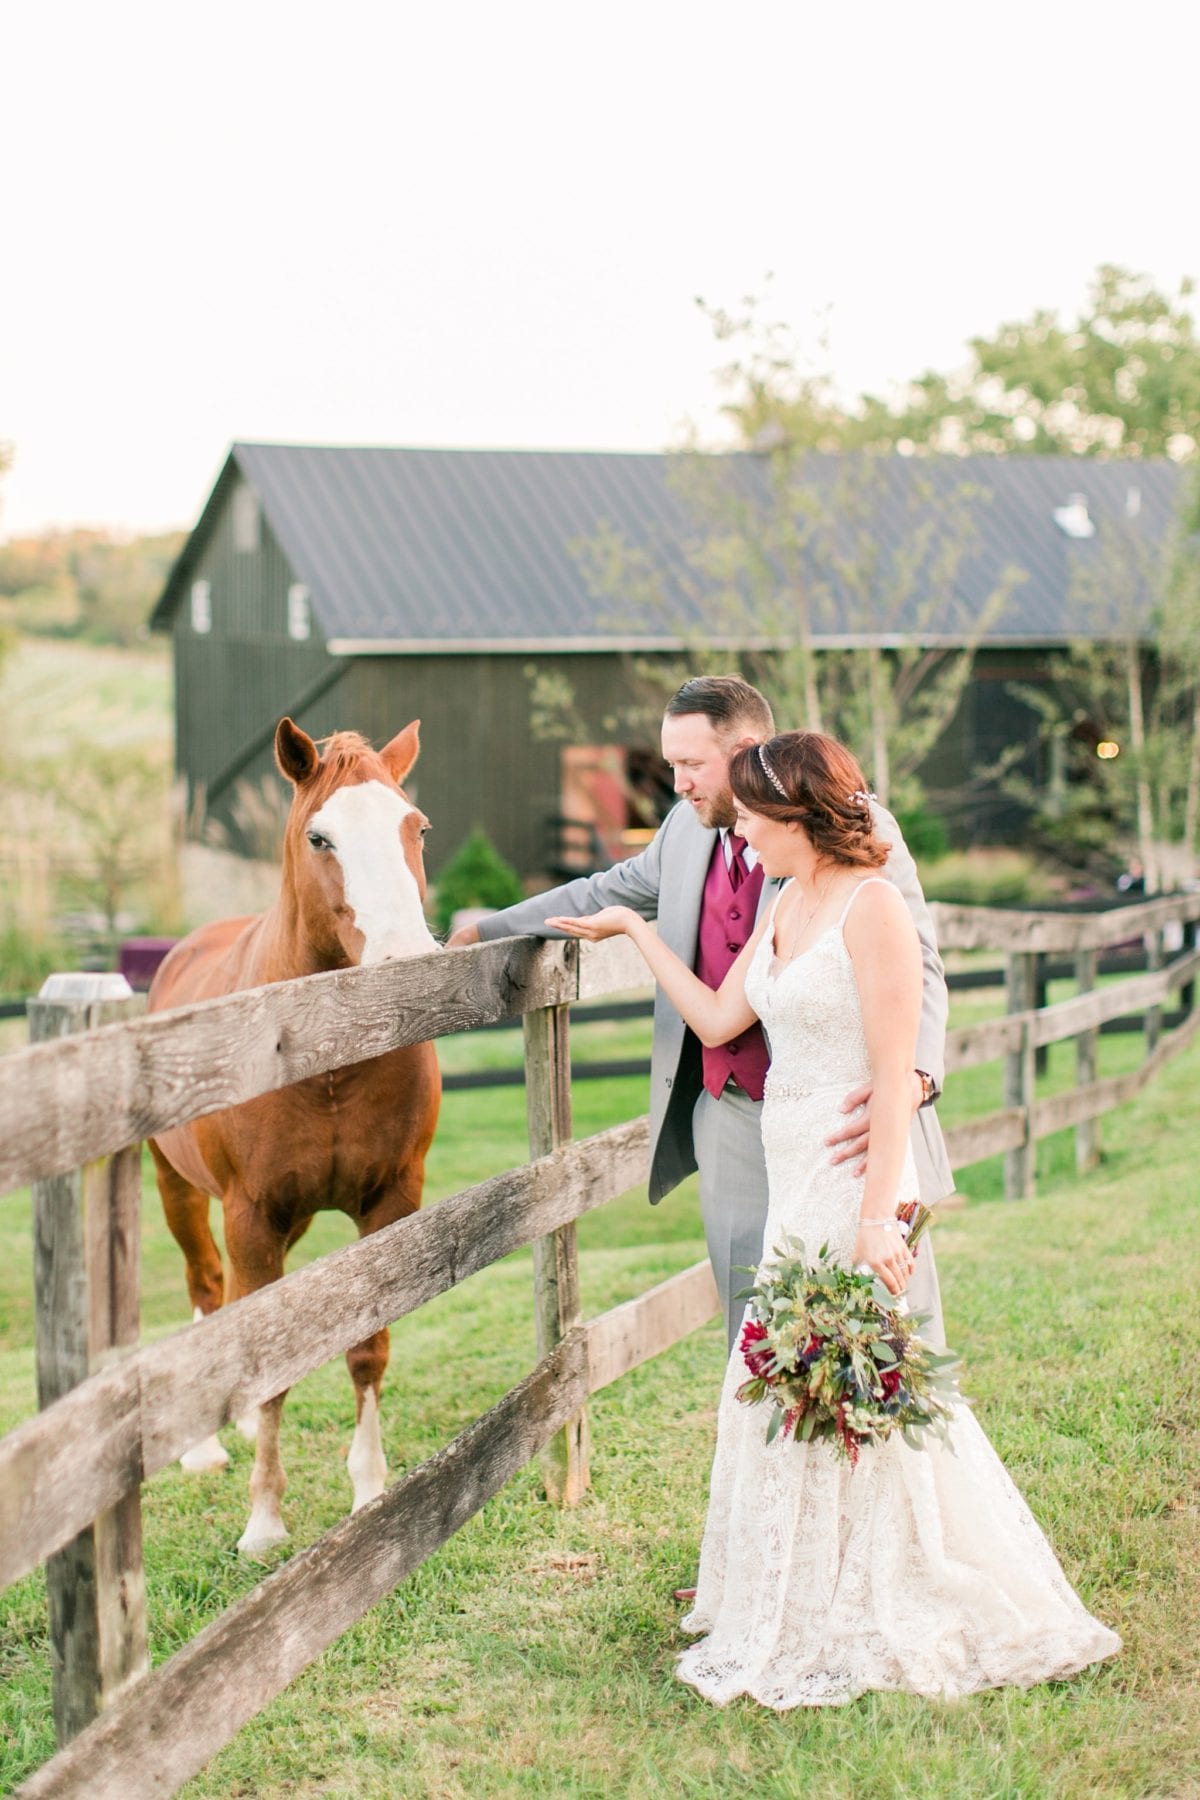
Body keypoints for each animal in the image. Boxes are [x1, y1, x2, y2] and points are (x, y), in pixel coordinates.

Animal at [150, 709, 440, 1555]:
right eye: (321, 838)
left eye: (416, 826)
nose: (407, 961)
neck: (326, 1052)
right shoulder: (252, 1215)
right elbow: (270, 1360)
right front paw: (265, 1520)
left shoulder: (388, 1206)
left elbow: (365, 1347)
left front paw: (370, 1492)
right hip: (183, 1195)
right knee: (209, 1289)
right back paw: (206, 1448)